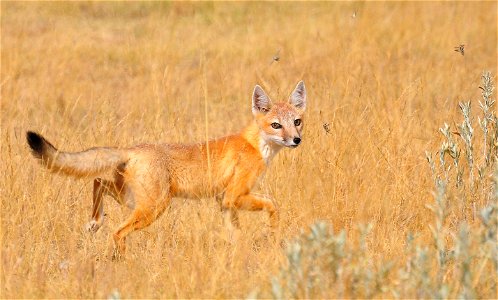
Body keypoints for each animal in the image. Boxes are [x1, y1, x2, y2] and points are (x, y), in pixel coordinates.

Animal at [28, 81, 308, 255]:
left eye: (297, 121)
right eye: (276, 125)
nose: (296, 140)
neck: (254, 144)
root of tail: (133, 149)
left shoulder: (224, 202)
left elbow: (236, 235)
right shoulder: (233, 196)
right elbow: (274, 204)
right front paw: (271, 234)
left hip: (131, 200)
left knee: (98, 181)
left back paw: (94, 223)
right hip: (153, 207)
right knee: (118, 231)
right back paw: (122, 261)